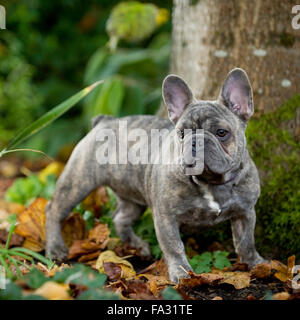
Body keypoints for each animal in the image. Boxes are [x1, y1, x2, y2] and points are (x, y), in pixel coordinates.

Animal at [44, 67, 264, 282]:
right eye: (181, 133)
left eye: (221, 133)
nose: (195, 141)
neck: (210, 182)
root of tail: (104, 121)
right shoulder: (166, 217)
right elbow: (174, 246)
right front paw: (182, 273)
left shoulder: (245, 212)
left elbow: (246, 241)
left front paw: (255, 263)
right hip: (78, 181)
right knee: (54, 209)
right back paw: (55, 248)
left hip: (132, 197)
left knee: (121, 218)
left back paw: (136, 245)